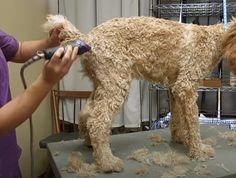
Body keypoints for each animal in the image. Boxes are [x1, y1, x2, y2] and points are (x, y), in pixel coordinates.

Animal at [43, 15, 236, 172]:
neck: (214, 38)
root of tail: (88, 38)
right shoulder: (186, 86)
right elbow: (193, 123)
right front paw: (198, 150)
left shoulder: (175, 87)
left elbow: (178, 118)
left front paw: (180, 138)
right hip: (116, 84)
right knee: (98, 122)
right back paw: (107, 163)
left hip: (102, 84)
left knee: (86, 114)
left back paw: (91, 144)